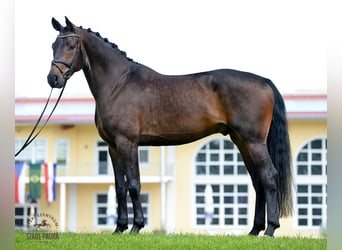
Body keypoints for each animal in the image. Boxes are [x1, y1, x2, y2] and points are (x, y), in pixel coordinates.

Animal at [46, 17, 292, 236]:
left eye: (71, 46)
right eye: (53, 46)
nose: (53, 79)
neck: (119, 83)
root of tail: (264, 81)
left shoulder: (127, 142)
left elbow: (134, 184)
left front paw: (136, 227)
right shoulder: (112, 146)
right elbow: (120, 187)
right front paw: (119, 228)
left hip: (254, 142)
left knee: (269, 177)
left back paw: (270, 229)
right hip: (241, 141)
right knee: (258, 181)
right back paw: (254, 230)